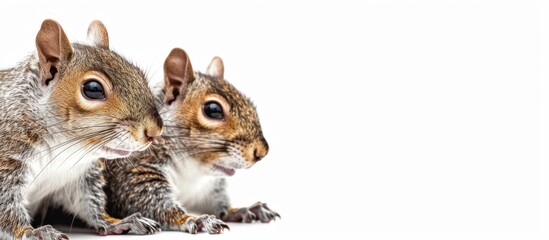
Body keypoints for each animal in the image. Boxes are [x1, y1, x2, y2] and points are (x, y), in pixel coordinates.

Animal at [0, 19, 163, 239]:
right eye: (93, 89)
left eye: (138, 73)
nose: (154, 131)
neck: (64, 148)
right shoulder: (7, 158)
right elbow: (6, 206)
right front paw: (31, 232)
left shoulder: (77, 179)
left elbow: (88, 204)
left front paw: (116, 222)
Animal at [103, 47, 278, 233]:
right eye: (213, 110)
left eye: (251, 105)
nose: (261, 152)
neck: (193, 170)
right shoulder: (133, 171)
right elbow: (149, 202)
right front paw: (194, 219)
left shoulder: (207, 189)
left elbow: (217, 205)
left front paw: (239, 210)